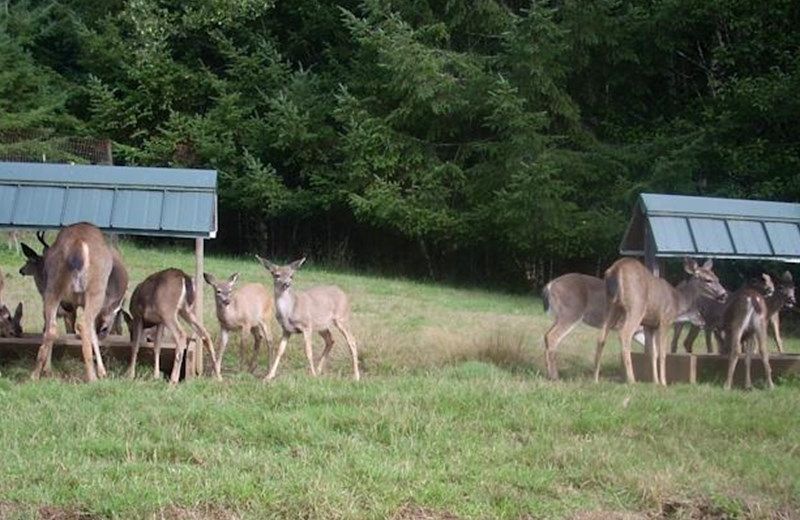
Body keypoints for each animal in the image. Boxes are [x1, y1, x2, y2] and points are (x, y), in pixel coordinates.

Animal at [30, 221, 122, 380]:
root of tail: (78, 245)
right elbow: (93, 331)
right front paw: (102, 372)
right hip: (95, 290)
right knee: (83, 325)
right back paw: (92, 377)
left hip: (53, 287)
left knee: (50, 327)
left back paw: (35, 375)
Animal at [592, 258, 728, 386]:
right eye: (707, 280)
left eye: (717, 278)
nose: (724, 295)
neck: (677, 302)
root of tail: (616, 269)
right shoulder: (665, 320)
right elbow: (662, 353)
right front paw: (663, 382)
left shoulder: (650, 325)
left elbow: (653, 353)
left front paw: (655, 382)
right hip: (635, 307)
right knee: (624, 334)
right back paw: (632, 380)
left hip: (611, 305)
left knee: (601, 336)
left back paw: (596, 379)